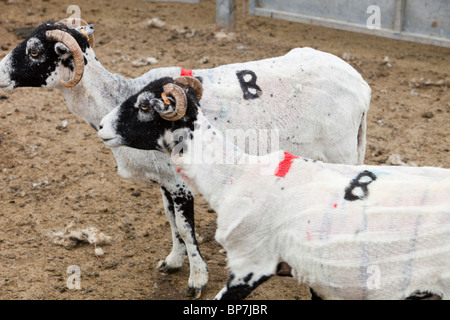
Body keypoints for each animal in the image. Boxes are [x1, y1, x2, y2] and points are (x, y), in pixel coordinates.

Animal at [0, 18, 370, 296]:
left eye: (35, 51)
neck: (114, 97)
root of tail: (361, 86)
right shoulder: (163, 180)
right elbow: (170, 221)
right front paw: (173, 261)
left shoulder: (181, 183)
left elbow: (186, 226)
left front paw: (197, 279)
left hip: (342, 152)